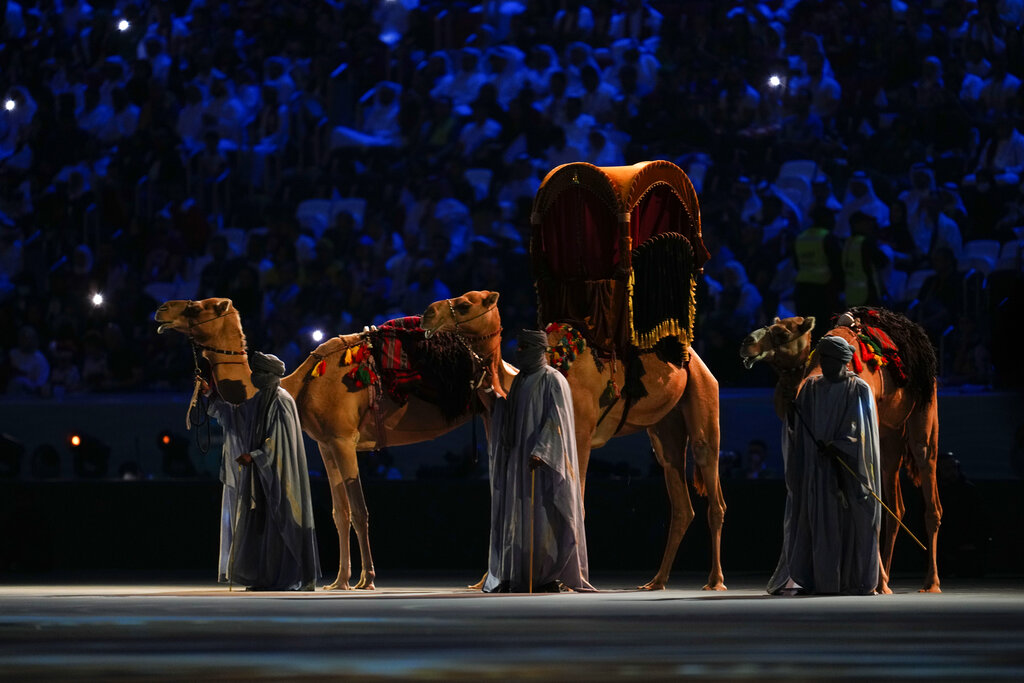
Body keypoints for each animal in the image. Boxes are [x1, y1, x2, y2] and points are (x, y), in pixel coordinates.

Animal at [153, 296, 520, 589]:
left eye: (196, 307)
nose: (161, 310)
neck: (299, 385)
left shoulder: (344, 440)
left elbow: (359, 510)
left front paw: (367, 579)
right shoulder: (326, 445)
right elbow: (339, 512)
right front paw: (340, 580)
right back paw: (483, 580)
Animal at [423, 290, 729, 589]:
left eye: (465, 305)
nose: (428, 313)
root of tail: (693, 357)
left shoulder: (579, 435)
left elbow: (575, 503)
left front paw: (570, 580)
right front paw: (488, 581)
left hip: (703, 394)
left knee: (710, 477)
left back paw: (715, 581)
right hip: (665, 424)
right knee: (678, 492)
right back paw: (656, 581)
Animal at [737, 309, 942, 593]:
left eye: (782, 333)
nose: (747, 343)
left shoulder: (862, 424)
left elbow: (865, 495)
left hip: (924, 411)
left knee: (928, 481)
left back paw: (930, 583)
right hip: (890, 435)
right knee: (896, 506)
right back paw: (885, 581)